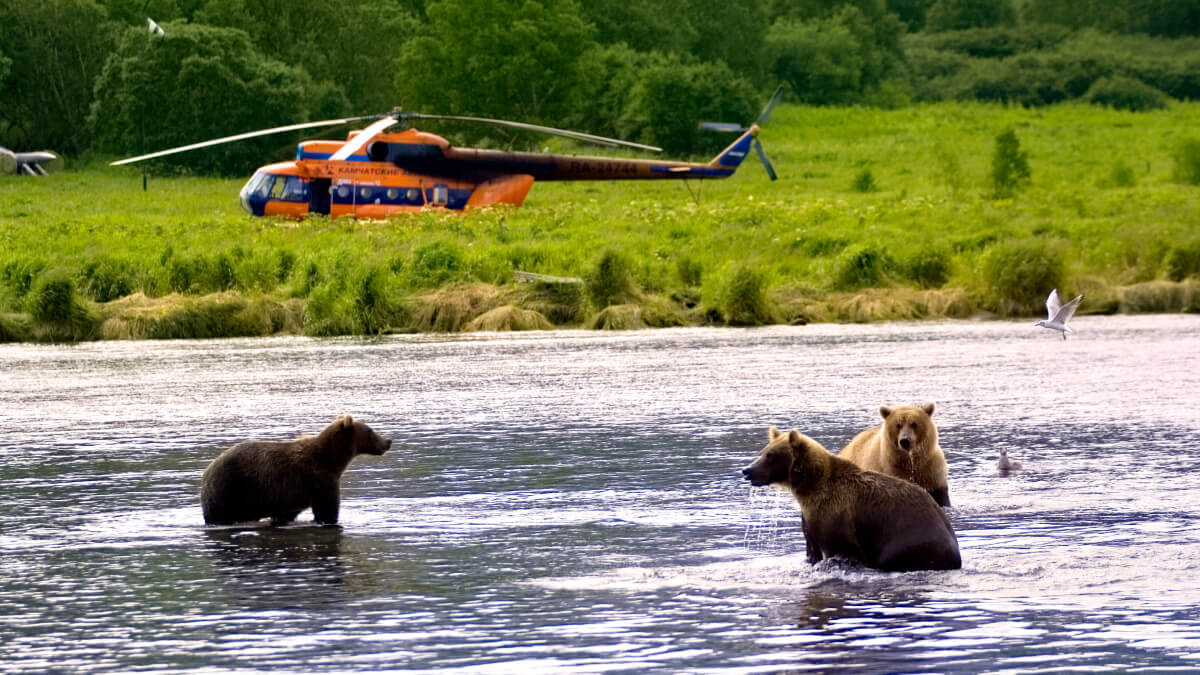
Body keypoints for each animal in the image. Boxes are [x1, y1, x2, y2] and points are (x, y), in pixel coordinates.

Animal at [199, 410, 391, 526]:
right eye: (370, 430)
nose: (388, 441)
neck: (331, 459)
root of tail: (207, 471)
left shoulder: (289, 495)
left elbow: (286, 514)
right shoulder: (318, 479)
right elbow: (327, 510)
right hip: (230, 490)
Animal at [734, 422, 960, 569]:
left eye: (770, 455)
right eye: (763, 451)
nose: (747, 470)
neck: (808, 489)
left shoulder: (835, 515)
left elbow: (837, 549)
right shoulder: (810, 517)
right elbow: (811, 549)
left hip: (908, 537)